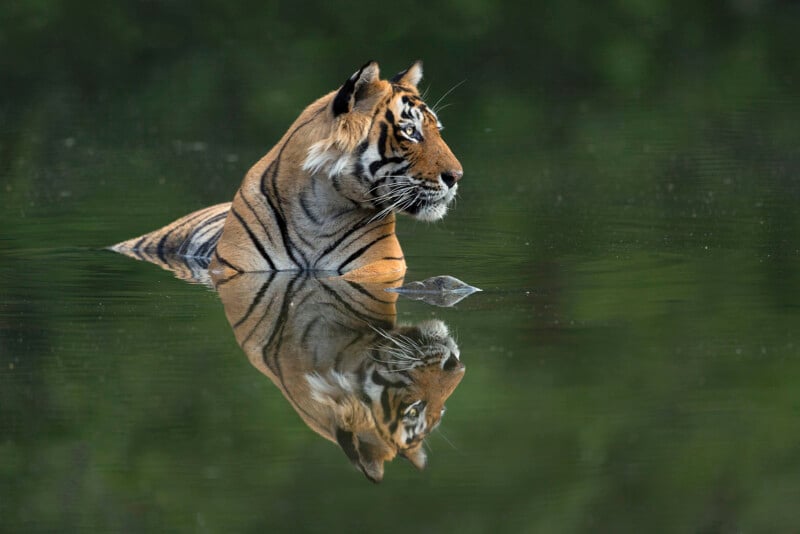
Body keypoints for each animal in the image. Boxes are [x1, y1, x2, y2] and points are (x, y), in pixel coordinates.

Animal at [111, 60, 462, 282]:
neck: (323, 212)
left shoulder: (381, 267)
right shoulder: (237, 269)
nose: (456, 176)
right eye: (410, 131)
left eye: (437, 129)